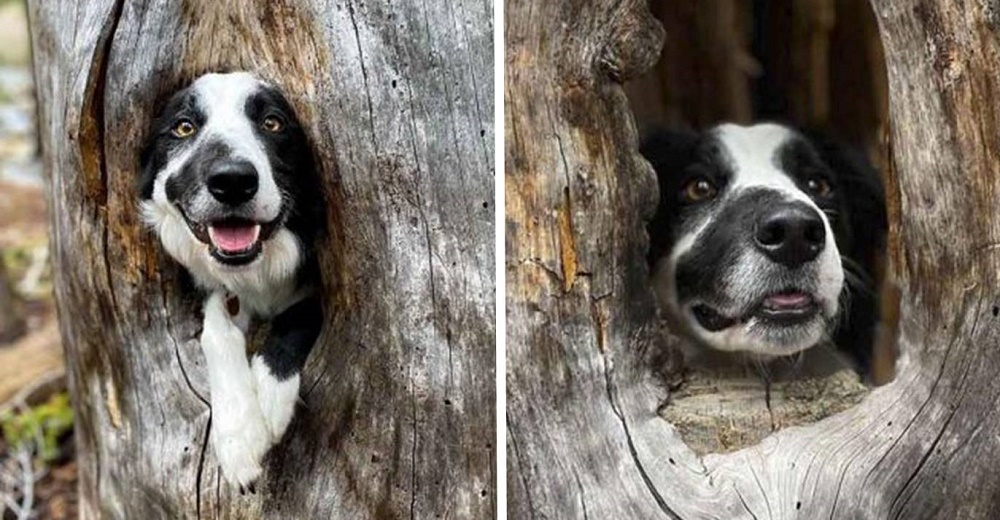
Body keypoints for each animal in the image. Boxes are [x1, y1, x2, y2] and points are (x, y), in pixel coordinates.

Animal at [137, 71, 322, 490]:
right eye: (184, 127)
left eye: (273, 122)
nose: (233, 181)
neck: (257, 270)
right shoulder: (221, 294)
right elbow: (215, 333)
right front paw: (238, 437)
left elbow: (301, 312)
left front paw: (270, 396)